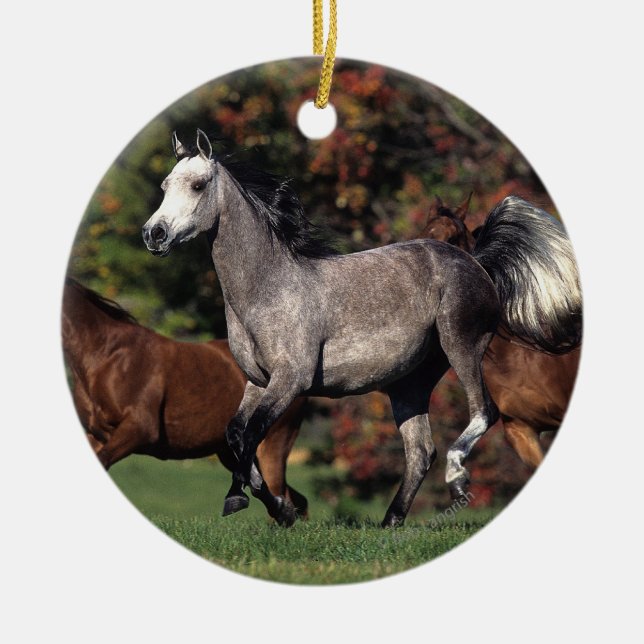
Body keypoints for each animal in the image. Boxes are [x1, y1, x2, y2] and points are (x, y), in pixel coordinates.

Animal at [61, 277, 308, 525]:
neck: (106, 359)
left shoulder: (140, 429)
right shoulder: (97, 434)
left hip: (272, 445)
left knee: (280, 495)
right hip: (232, 453)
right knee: (291, 498)